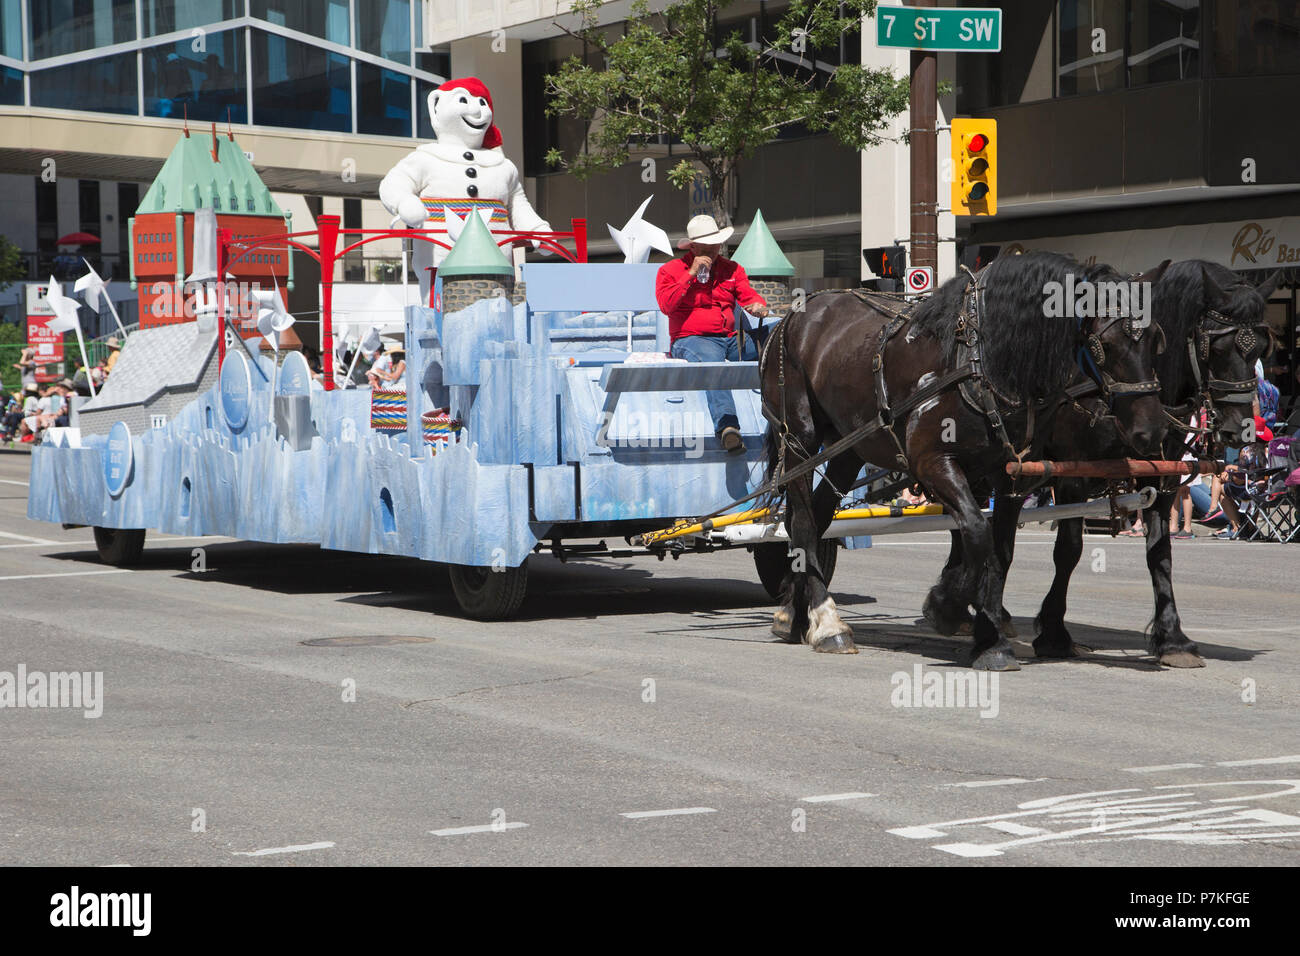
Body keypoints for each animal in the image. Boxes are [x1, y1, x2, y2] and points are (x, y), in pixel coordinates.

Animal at [754, 254, 1170, 671]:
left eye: (1155, 339)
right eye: (1105, 345)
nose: (1152, 431)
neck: (983, 359)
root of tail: (792, 316)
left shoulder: (1011, 476)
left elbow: (1000, 550)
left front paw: (990, 639)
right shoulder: (933, 462)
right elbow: (977, 532)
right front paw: (947, 607)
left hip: (849, 447)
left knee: (816, 517)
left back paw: (795, 613)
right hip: (800, 438)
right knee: (804, 522)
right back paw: (827, 622)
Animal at [967, 257, 1279, 671]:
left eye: (1260, 346)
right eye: (1215, 344)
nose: (1240, 429)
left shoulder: (1163, 477)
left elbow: (1160, 553)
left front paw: (1173, 639)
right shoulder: (1072, 474)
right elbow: (1068, 550)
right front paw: (1054, 633)